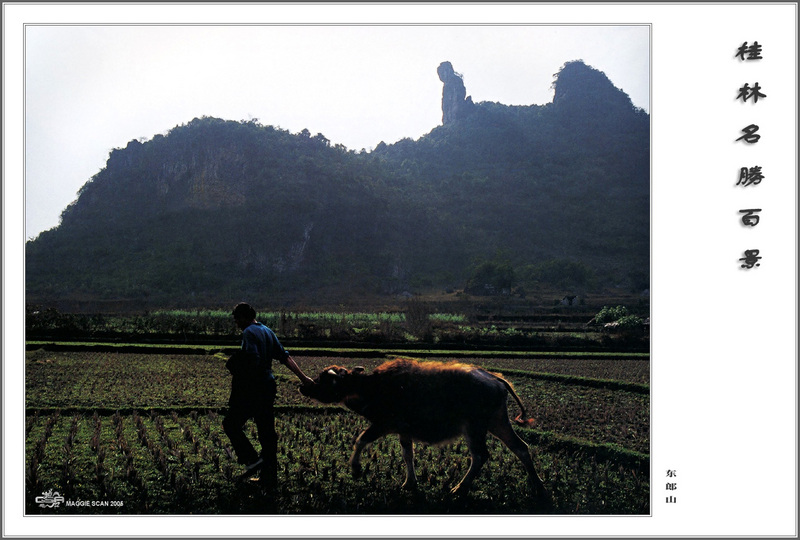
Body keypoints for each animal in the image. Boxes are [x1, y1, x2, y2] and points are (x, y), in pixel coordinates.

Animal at [300, 356, 552, 500]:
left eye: (324, 379)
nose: (304, 387)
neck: (373, 387)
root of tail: (495, 378)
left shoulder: (384, 424)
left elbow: (361, 440)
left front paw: (355, 468)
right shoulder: (404, 431)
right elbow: (407, 455)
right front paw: (409, 483)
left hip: (474, 427)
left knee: (480, 456)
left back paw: (459, 489)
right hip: (498, 422)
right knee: (521, 447)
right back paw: (538, 487)